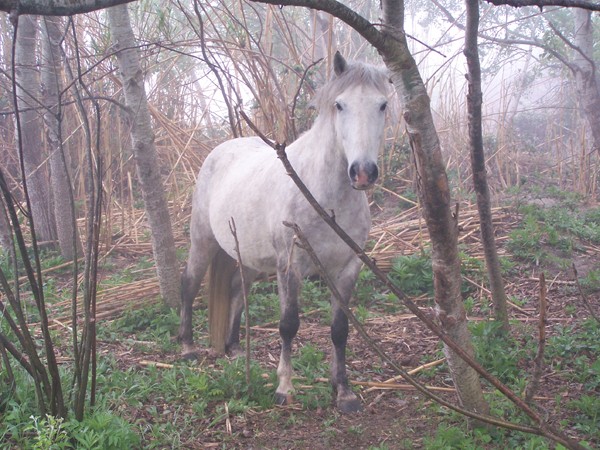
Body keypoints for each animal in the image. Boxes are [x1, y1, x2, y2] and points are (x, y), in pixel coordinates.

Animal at [178, 51, 390, 412]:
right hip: (202, 242)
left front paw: (344, 391)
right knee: (189, 285)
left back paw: (235, 348)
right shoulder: (291, 265)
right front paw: (285, 387)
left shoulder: (347, 268)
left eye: (383, 105)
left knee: (236, 289)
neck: (322, 195)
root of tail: (219, 152)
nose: (362, 173)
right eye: (340, 105)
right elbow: (289, 324)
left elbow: (340, 329)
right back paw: (188, 347)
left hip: (248, 255)